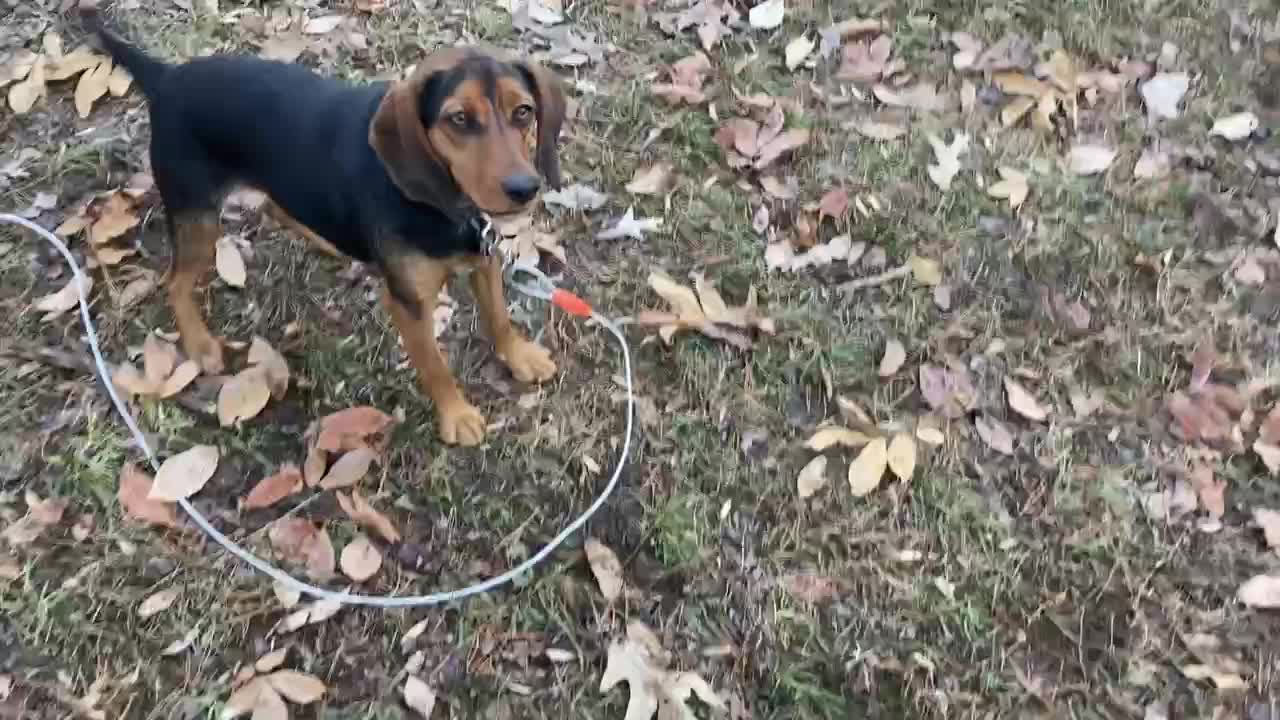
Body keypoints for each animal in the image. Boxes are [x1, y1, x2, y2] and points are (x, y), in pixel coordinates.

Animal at [85, 4, 565, 443]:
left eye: (523, 112)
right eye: (459, 119)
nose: (525, 187)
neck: (444, 205)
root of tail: (167, 78)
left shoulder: (484, 257)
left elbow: (499, 316)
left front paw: (518, 355)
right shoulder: (408, 304)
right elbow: (435, 366)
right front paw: (457, 415)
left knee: (276, 208)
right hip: (197, 218)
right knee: (175, 282)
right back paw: (200, 344)